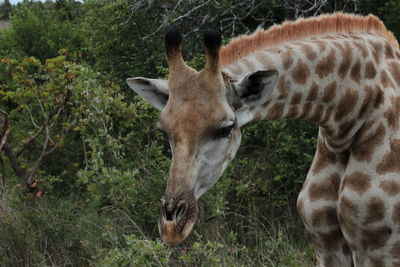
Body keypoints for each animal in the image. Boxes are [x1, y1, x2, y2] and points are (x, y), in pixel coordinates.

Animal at [127, 13, 400, 266]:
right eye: (164, 131)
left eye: (225, 129)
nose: (172, 227)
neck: (348, 119)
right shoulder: (327, 244)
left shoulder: (379, 250)